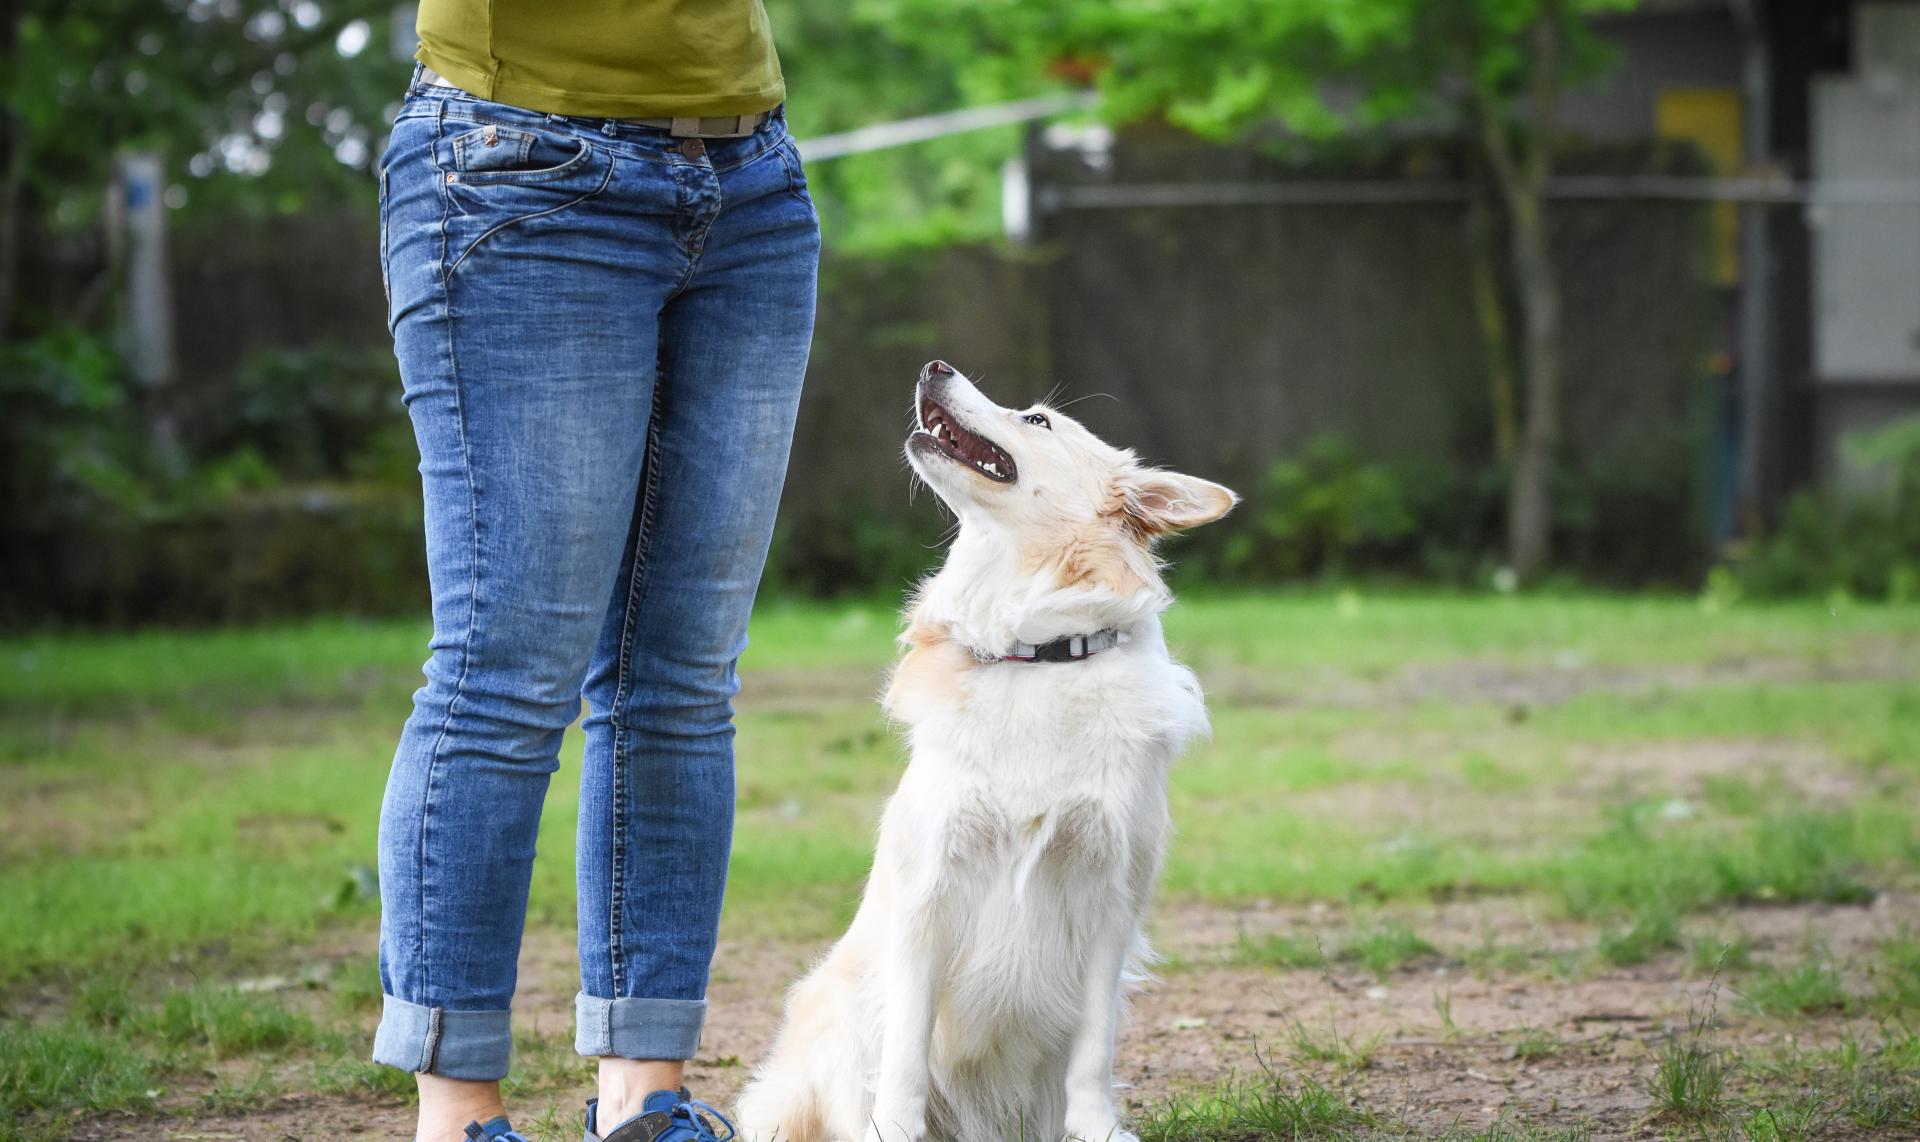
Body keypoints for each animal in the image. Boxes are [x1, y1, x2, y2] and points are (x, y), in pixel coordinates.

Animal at [725, 362, 1236, 1142]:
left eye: (1039, 420)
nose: (933, 367)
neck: (1037, 655)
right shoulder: (927, 896)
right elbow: (905, 1056)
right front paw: (895, 1130)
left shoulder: (1110, 895)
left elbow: (1093, 1049)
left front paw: (1096, 1127)